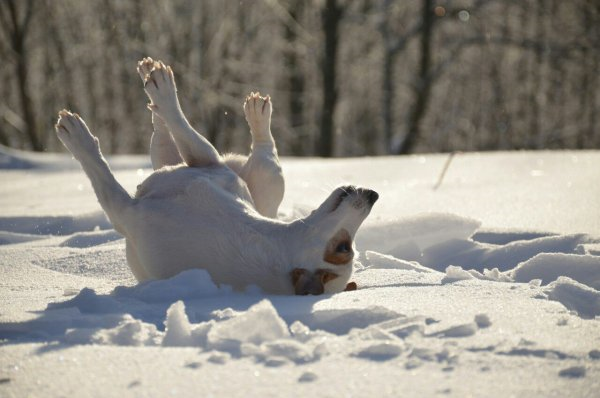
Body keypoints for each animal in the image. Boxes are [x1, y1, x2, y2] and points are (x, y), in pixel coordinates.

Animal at [54, 59, 378, 296]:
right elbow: (188, 133)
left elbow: (99, 169)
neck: (260, 235)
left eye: (343, 248)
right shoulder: (209, 165)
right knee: (167, 142)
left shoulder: (124, 213)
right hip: (245, 177)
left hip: (263, 174)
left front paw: (78, 137)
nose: (373, 195)